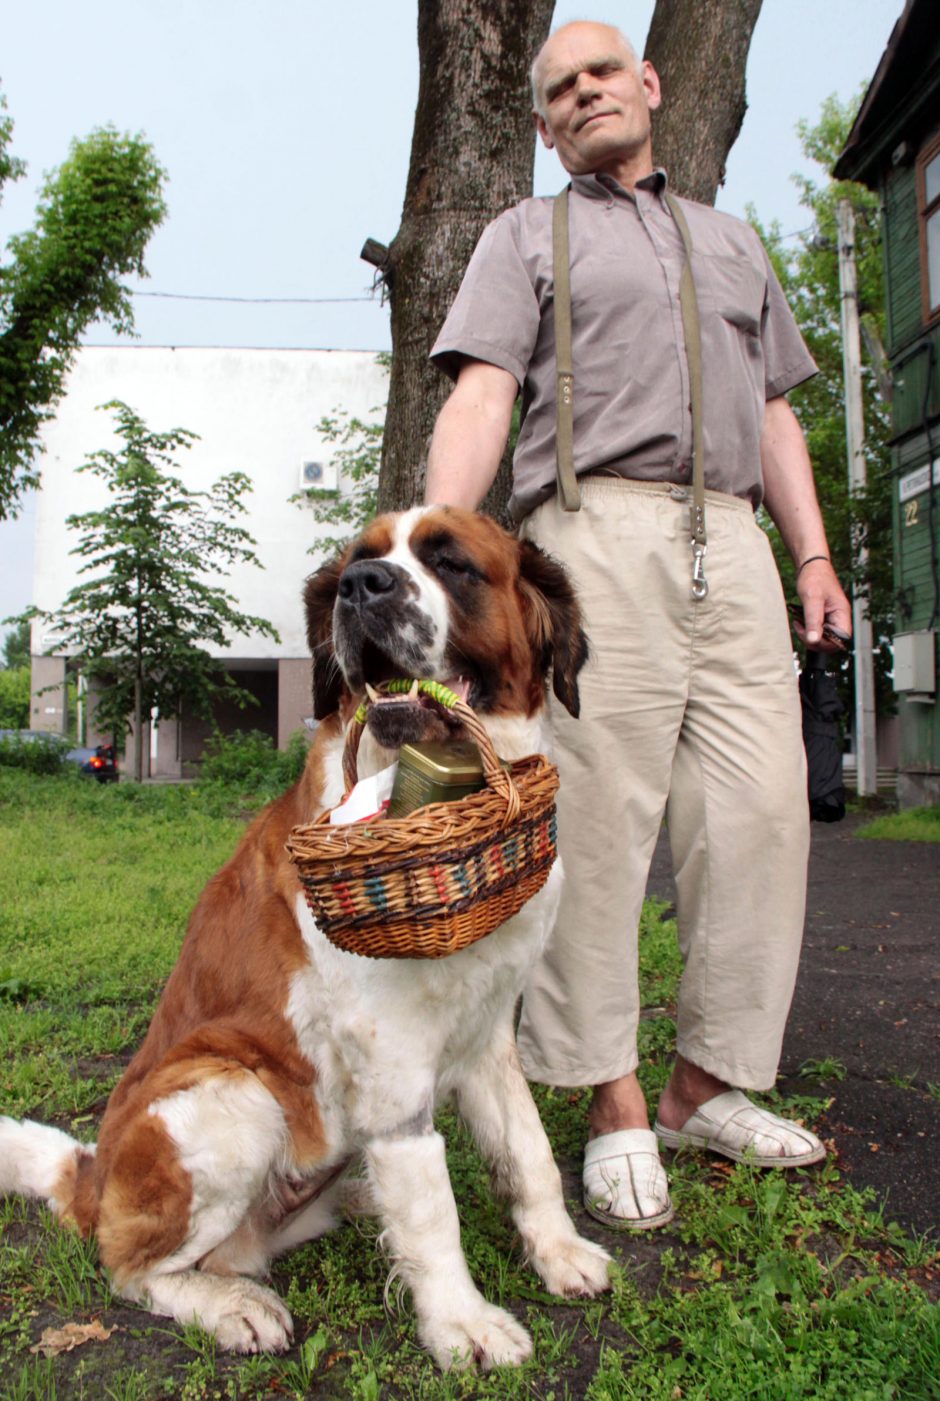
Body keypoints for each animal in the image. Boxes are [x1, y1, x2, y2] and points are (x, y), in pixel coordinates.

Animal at [0, 509, 610, 1372]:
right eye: (361, 561)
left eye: (450, 563)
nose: (361, 586)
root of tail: (92, 1178)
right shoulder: (391, 1060)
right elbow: (433, 1202)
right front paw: (462, 1324)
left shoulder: (490, 1030)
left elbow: (526, 1151)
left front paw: (558, 1252)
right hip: (233, 1092)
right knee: (132, 1269)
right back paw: (231, 1305)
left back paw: (350, 1201)